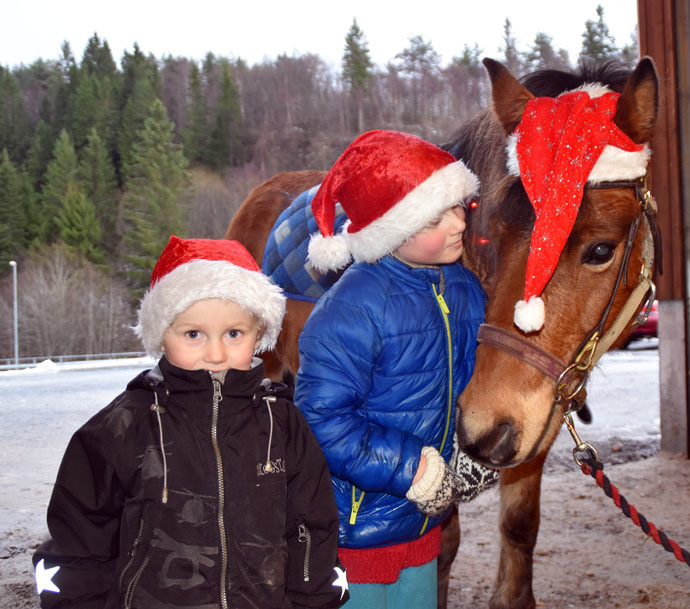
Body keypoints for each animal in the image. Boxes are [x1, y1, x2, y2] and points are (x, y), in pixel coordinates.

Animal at [226, 58, 656, 608]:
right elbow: (441, 546)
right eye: (491, 234)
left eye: (601, 249)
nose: (483, 431)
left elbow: (520, 527)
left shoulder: (535, 427)